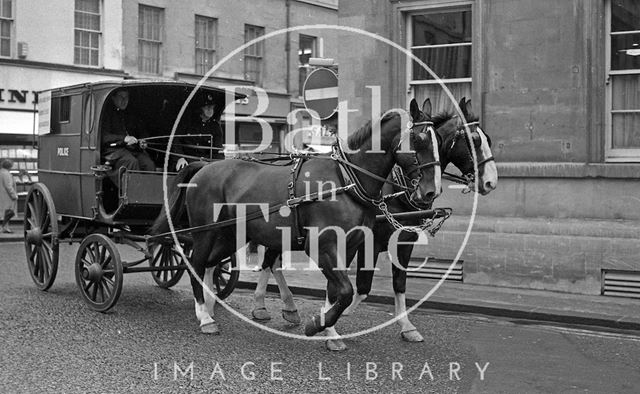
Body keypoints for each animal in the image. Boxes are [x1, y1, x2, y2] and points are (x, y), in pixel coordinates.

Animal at [151, 98, 442, 338]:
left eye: (438, 138)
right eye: (418, 140)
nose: (431, 191)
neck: (346, 180)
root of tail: (204, 165)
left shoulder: (349, 246)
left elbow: (337, 291)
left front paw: (329, 330)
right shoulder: (322, 246)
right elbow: (345, 291)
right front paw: (317, 325)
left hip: (230, 235)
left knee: (211, 265)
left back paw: (211, 307)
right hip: (205, 232)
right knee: (196, 264)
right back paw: (204, 317)